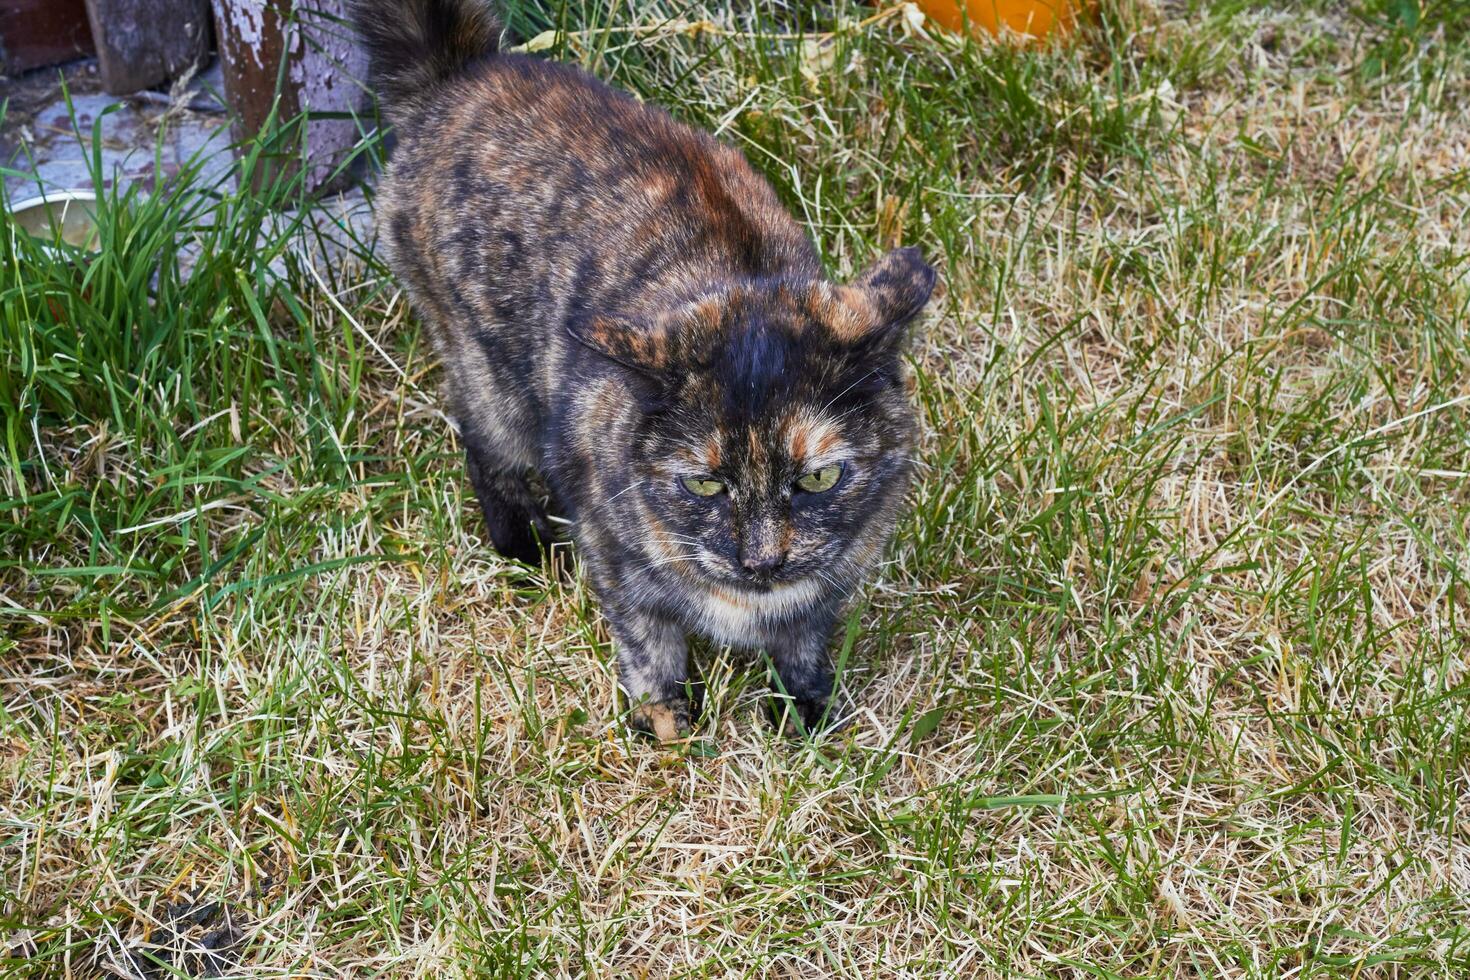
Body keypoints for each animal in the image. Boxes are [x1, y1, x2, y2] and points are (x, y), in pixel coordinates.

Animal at [349, 0, 934, 740]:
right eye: (705, 484)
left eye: (819, 479)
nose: (762, 560)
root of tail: (467, 72)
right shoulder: (614, 554)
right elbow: (646, 639)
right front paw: (667, 722)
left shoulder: (833, 578)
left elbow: (802, 637)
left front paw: (804, 711)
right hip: (489, 370)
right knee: (483, 441)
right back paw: (523, 546)